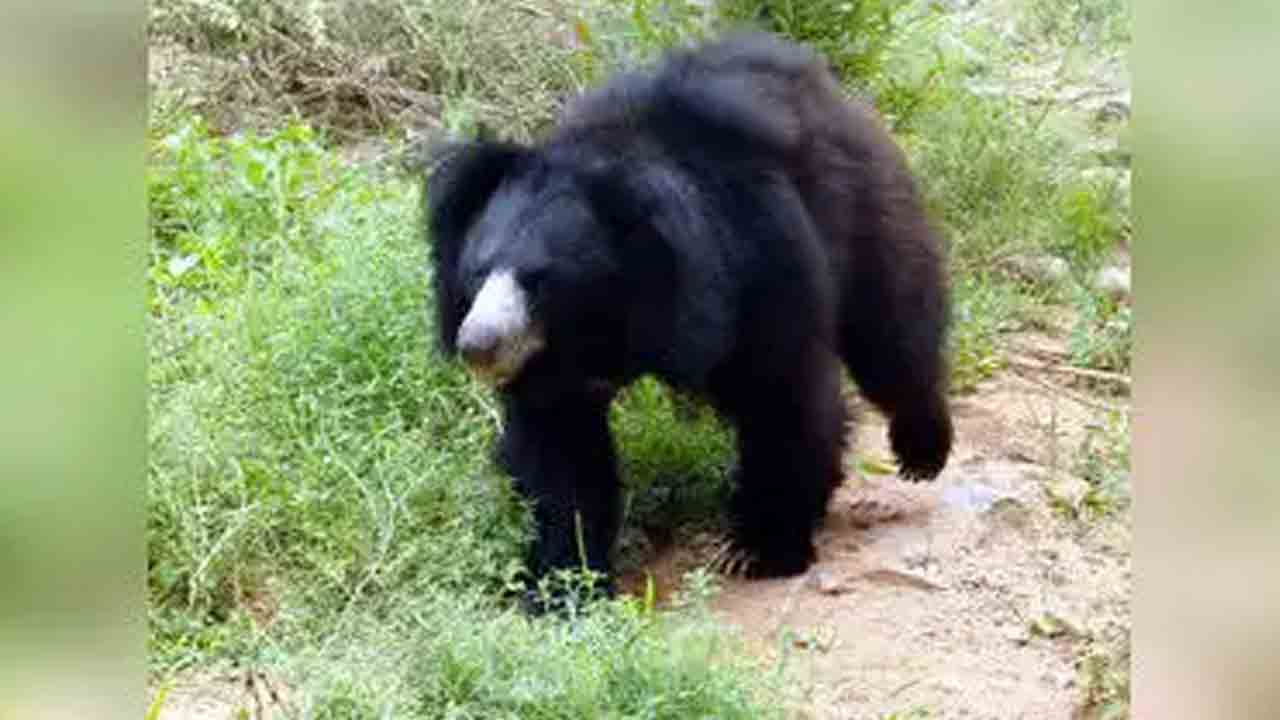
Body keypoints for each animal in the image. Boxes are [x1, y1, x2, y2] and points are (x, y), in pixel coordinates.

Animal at [423, 32, 953, 606]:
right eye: (477, 273)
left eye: (538, 280)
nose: (478, 344)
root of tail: (818, 77)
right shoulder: (551, 365)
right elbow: (559, 451)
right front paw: (563, 584)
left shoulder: (759, 264)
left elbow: (782, 394)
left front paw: (759, 550)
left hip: (861, 204)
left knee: (891, 324)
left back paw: (922, 450)